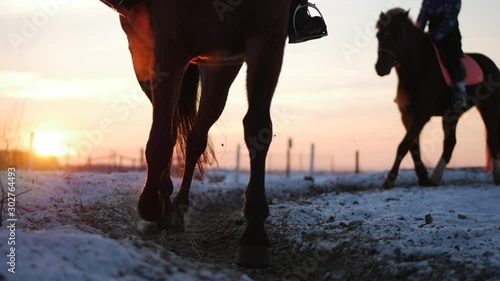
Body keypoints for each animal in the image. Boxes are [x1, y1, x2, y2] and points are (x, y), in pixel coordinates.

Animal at [116, 0, 290, 266]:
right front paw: (151, 206)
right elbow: (160, 138)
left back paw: (177, 206)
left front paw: (255, 233)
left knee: (195, 137)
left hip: (220, 65)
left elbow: (257, 128)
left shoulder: (268, 34)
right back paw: (164, 204)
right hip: (147, 54)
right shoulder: (168, 45)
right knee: (170, 128)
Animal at [374, 8, 500, 188]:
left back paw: (496, 176)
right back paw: (435, 178)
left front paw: (390, 179)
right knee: (450, 143)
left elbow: (403, 145)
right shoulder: (406, 115)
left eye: (398, 36)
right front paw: (423, 177)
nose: (381, 68)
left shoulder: (422, 115)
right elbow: (413, 146)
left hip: (489, 110)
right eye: (379, 36)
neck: (418, 70)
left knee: (492, 140)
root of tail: (491, 64)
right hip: (451, 115)